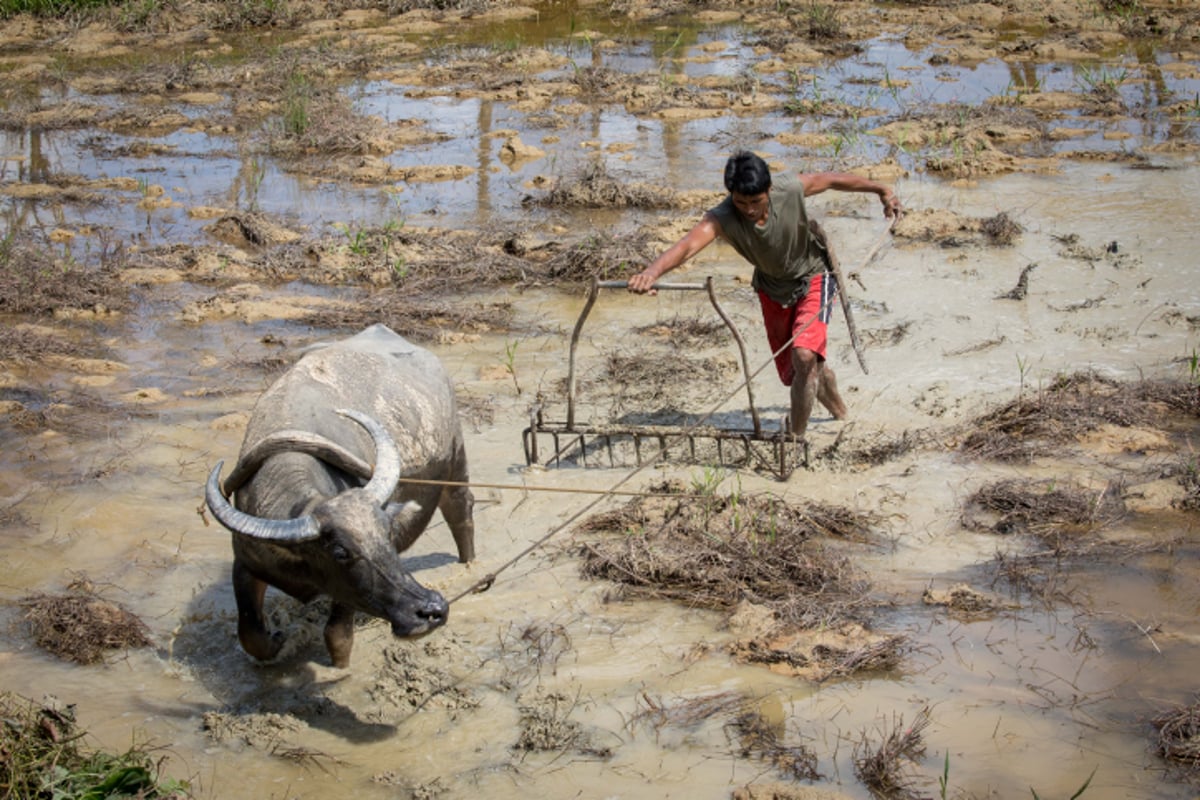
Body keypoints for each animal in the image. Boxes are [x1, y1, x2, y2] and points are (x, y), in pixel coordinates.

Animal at [204, 326, 470, 671]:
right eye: (340, 552)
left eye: (387, 534)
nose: (431, 610)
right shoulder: (247, 564)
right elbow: (250, 633)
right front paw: (276, 641)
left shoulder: (346, 595)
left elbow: (336, 636)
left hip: (455, 461)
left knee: (460, 510)